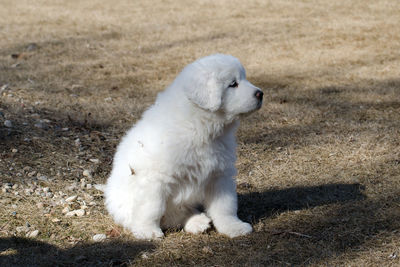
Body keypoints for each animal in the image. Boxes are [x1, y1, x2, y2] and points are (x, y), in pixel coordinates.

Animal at [104, 53, 264, 240]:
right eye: (233, 84)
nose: (261, 94)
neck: (200, 126)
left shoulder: (220, 174)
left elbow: (225, 206)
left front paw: (233, 227)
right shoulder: (155, 179)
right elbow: (151, 208)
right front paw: (147, 231)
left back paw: (197, 221)